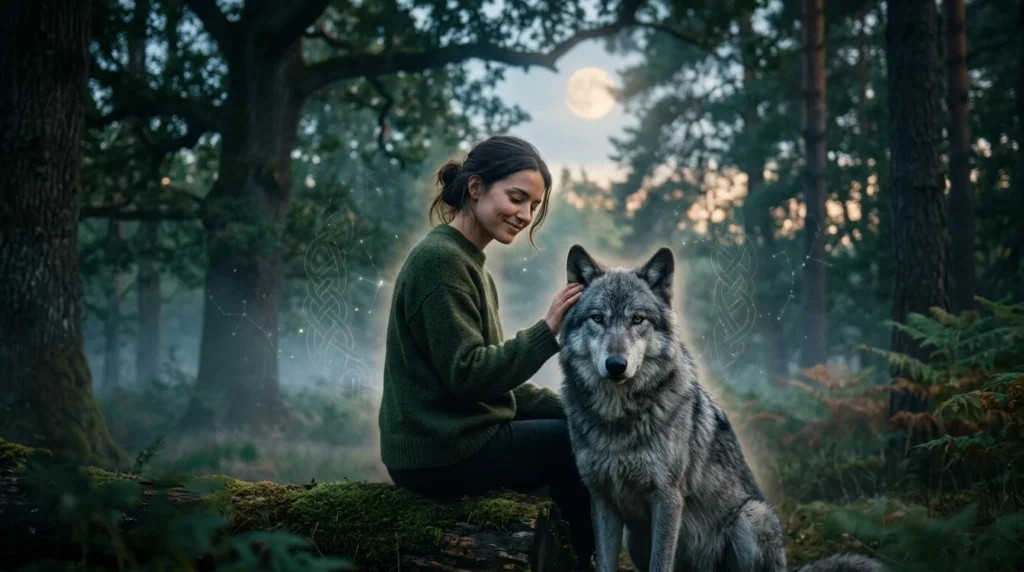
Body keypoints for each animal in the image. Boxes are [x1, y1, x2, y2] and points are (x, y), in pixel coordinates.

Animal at [557, 244, 883, 572]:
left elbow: (660, 563)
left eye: (637, 319)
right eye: (597, 318)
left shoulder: (667, 498)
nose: (616, 365)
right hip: (636, 538)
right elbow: (605, 562)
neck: (617, 416)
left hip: (750, 517)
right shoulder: (601, 499)